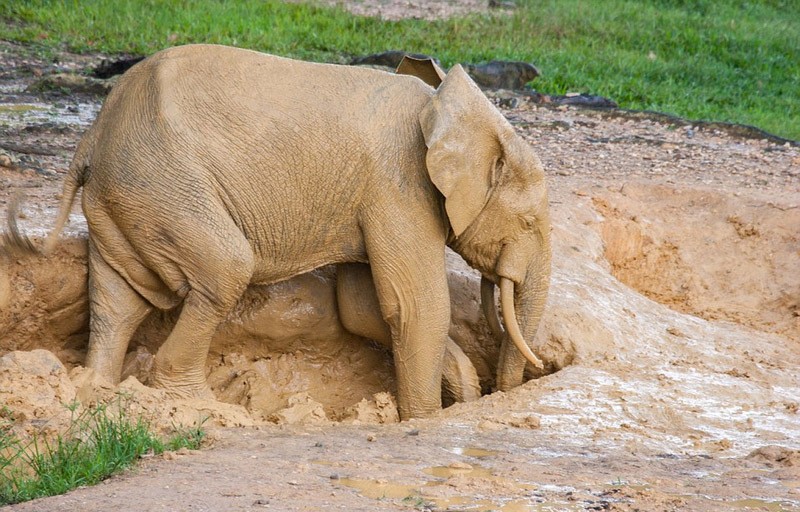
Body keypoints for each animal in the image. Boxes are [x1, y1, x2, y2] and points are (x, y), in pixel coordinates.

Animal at [1, 44, 552, 420]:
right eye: (529, 222)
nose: (514, 384)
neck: (445, 110)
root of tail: (91, 135)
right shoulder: (398, 187)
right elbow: (416, 307)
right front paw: (424, 420)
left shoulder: (373, 197)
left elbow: (363, 308)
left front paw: (460, 393)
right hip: (164, 183)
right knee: (224, 269)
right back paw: (202, 407)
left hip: (126, 197)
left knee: (120, 299)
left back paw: (96, 389)